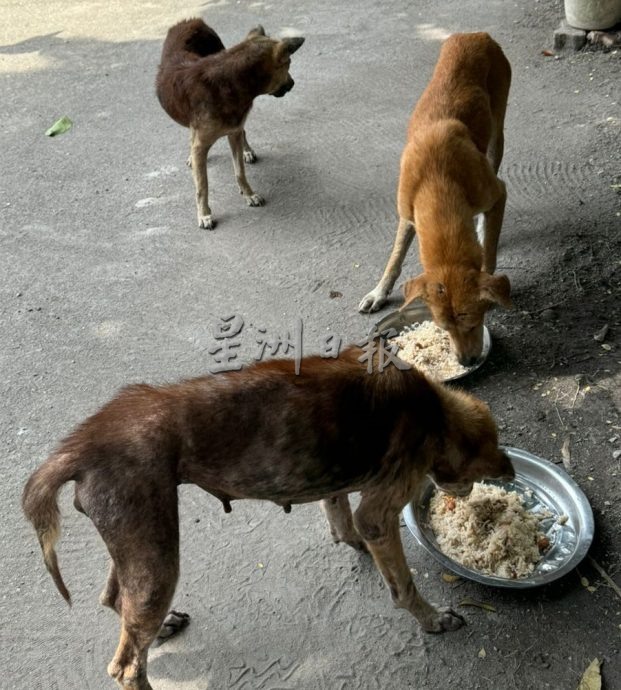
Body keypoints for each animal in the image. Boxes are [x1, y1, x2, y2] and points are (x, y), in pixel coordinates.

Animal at [21, 346, 512, 688]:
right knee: (125, 666)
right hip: (156, 555)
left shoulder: (336, 485)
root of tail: (80, 444)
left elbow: (341, 516)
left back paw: (161, 627)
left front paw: (354, 545)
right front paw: (433, 620)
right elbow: (403, 584)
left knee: (115, 601)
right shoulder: (379, 510)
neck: (433, 409)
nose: (466, 494)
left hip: (139, 538)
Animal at [156, 18, 304, 228]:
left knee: (243, 133)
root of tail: (193, 21)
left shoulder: (233, 131)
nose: (293, 83)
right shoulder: (201, 144)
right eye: (288, 63)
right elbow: (202, 185)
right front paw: (204, 214)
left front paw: (249, 194)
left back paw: (247, 151)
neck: (229, 82)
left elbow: (239, 171)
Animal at [358, 33, 512, 366]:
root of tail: (475, 35)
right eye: (443, 328)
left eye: (473, 322)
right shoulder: (408, 213)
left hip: (497, 131)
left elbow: (490, 255)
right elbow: (395, 258)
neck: (438, 182)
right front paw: (379, 292)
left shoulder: (497, 192)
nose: (466, 362)